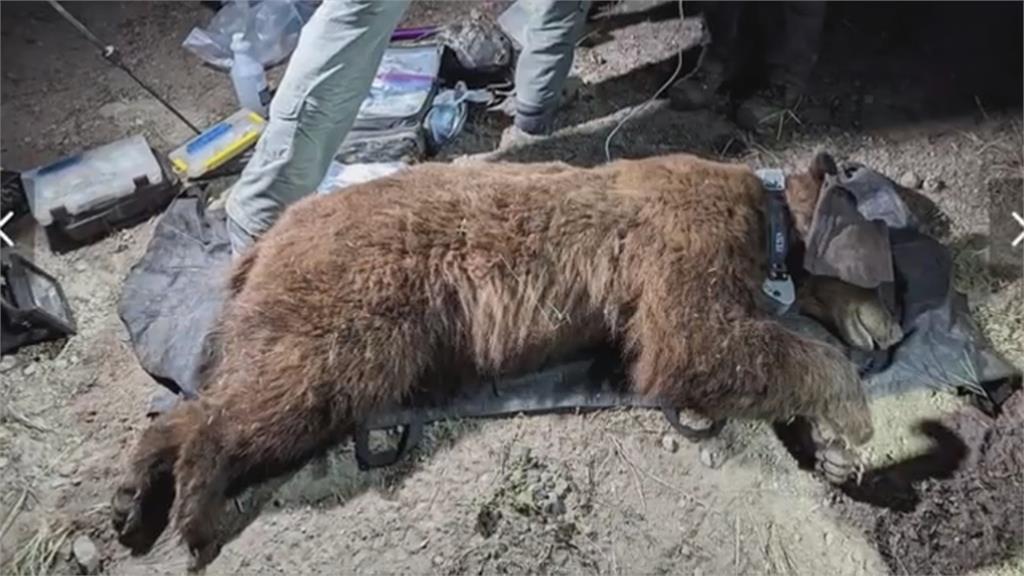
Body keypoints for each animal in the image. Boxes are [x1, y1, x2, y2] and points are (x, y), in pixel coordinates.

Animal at [112, 148, 901, 565]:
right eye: (883, 272)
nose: (894, 331)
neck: (770, 226)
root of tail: (266, 241)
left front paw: (830, 451)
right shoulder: (689, 244)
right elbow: (699, 344)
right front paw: (854, 417)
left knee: (218, 400)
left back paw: (134, 494)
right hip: (353, 313)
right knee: (265, 402)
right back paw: (195, 512)